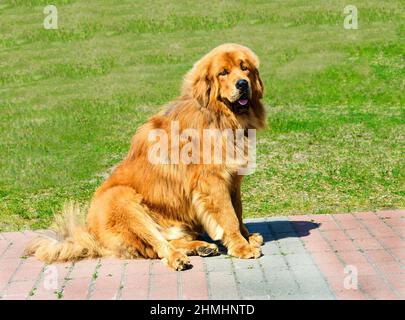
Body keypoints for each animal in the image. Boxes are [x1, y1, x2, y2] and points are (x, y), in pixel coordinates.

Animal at [25, 43, 266, 270]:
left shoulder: (233, 179)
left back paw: (201, 247)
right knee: (158, 245)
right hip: (123, 200)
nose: (242, 83)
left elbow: (238, 211)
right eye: (223, 73)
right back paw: (180, 258)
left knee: (167, 241)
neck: (218, 117)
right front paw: (242, 246)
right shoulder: (213, 182)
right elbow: (229, 216)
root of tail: (92, 234)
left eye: (245, 68)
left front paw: (247, 237)